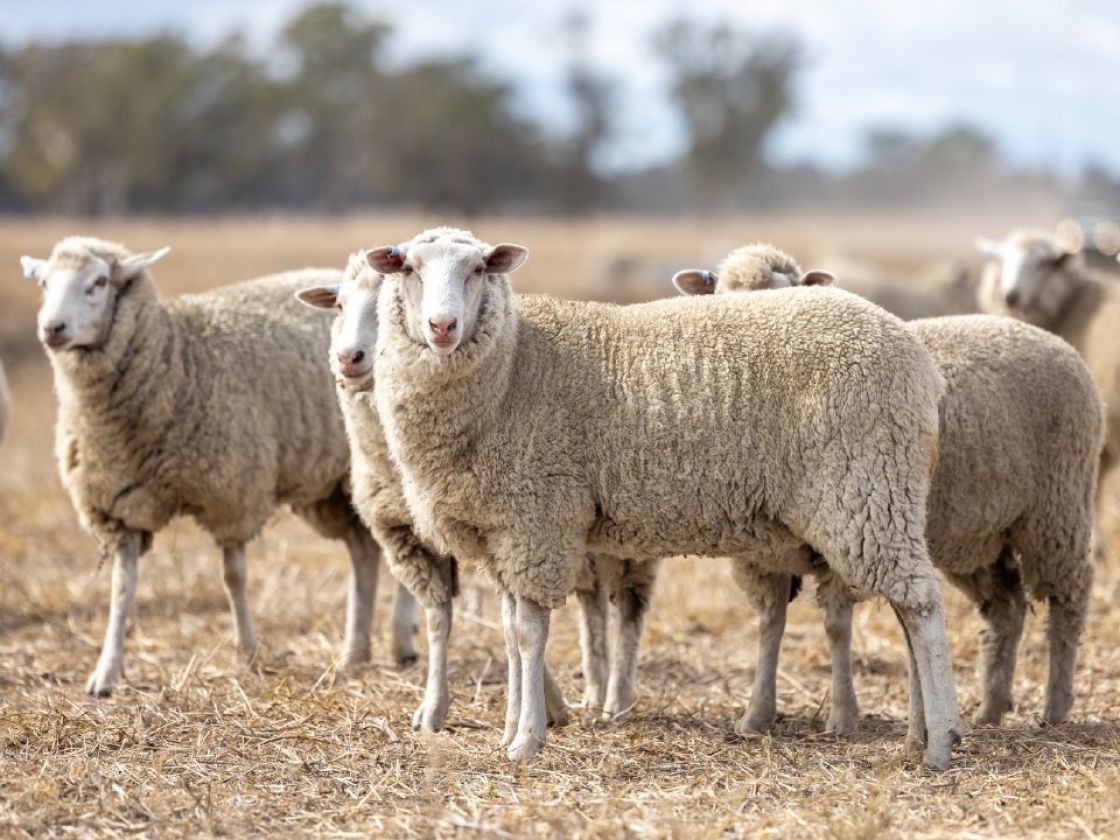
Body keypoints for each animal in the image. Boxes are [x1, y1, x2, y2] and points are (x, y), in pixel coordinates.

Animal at [19, 237, 419, 696]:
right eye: (44, 283)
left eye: (99, 282)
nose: (52, 329)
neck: (176, 359)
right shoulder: (120, 508)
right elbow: (121, 589)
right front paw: (105, 672)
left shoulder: (233, 492)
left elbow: (234, 576)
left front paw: (247, 651)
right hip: (333, 486)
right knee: (364, 552)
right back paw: (356, 651)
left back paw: (401, 642)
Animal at [294, 254, 571, 731]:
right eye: (340, 307)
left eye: (382, 309)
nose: (349, 358)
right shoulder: (406, 531)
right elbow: (440, 619)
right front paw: (433, 707)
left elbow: (511, 615)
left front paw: (544, 703)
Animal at [366, 226, 962, 769]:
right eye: (409, 269)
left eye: (478, 269)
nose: (443, 327)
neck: (513, 365)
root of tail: (921, 363)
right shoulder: (503, 532)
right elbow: (513, 634)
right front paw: (513, 726)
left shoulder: (538, 520)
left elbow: (531, 636)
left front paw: (527, 740)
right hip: (879, 497)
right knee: (907, 611)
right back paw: (922, 734)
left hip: (866, 491)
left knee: (922, 605)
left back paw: (938, 745)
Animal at [674, 244, 1103, 735]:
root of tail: (1045, 337)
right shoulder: (758, 555)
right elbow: (770, 623)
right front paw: (756, 714)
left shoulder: (848, 526)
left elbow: (836, 625)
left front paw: (843, 716)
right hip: (976, 536)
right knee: (1006, 607)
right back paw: (990, 708)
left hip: (1057, 510)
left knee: (1069, 600)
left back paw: (1055, 706)